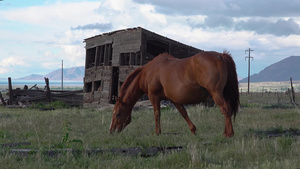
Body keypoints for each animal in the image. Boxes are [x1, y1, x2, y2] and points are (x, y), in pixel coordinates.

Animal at [110, 50, 239, 137]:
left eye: (118, 114)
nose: (111, 131)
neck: (148, 73)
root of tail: (221, 56)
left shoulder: (154, 96)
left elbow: (157, 114)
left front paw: (157, 133)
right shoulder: (174, 100)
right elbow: (184, 113)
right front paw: (193, 130)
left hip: (216, 93)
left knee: (225, 109)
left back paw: (229, 134)